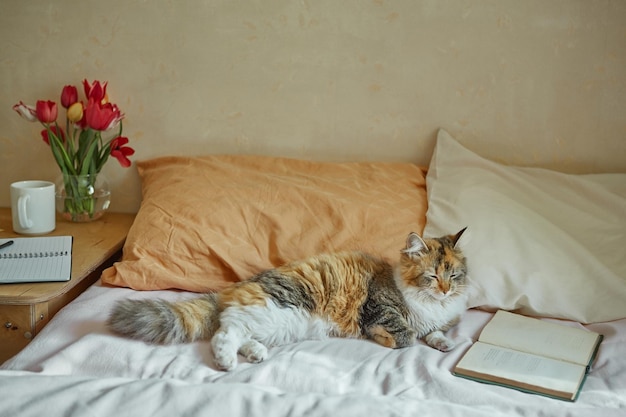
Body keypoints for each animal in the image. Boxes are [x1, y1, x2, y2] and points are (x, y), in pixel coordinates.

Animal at [108, 228, 468, 370]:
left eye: (454, 276)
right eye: (432, 276)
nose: (445, 290)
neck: (432, 306)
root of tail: (230, 290)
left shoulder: (436, 320)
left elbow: (434, 332)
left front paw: (443, 342)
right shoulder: (379, 309)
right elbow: (406, 335)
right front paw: (396, 339)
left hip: (278, 325)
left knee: (234, 331)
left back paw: (255, 354)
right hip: (277, 308)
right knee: (225, 331)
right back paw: (226, 362)